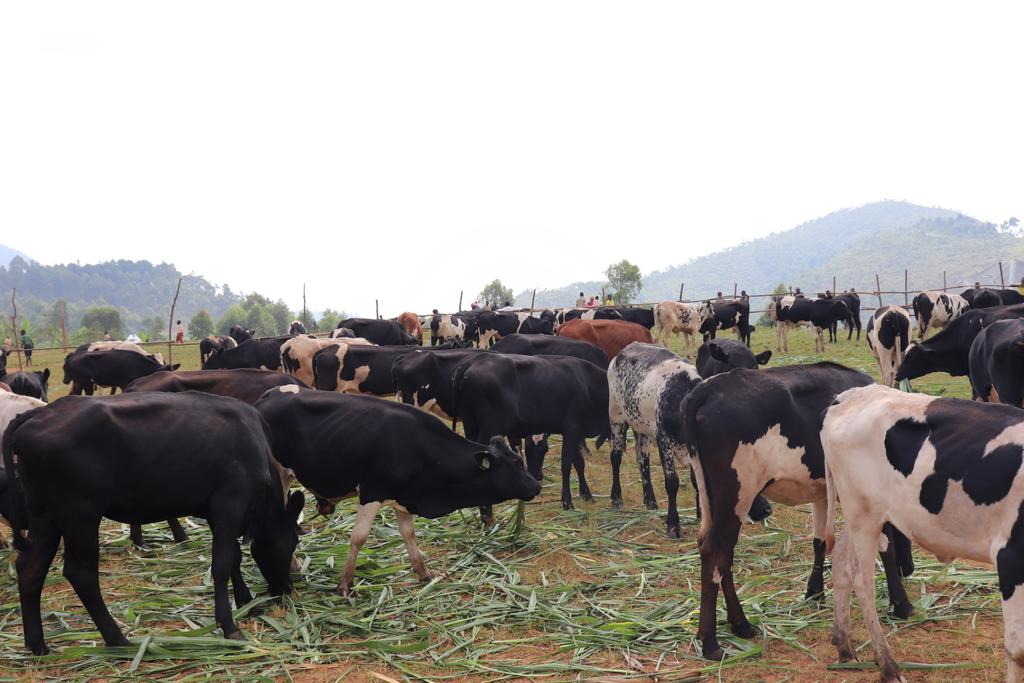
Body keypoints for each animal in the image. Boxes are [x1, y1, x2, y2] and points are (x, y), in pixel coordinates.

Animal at [3, 392, 304, 654]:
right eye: (293, 541)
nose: (285, 589)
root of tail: (40, 413)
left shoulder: (215, 512)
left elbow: (235, 559)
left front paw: (245, 600)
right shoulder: (230, 503)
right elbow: (221, 564)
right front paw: (229, 625)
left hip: (45, 516)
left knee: (30, 569)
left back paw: (38, 645)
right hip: (80, 516)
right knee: (81, 573)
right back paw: (117, 639)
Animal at [256, 386, 540, 595]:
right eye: (517, 463)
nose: (536, 485)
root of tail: (271, 394)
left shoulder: (402, 497)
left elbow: (409, 535)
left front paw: (424, 573)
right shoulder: (372, 492)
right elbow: (359, 537)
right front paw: (345, 583)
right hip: (280, 475)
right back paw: (293, 565)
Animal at [453, 353, 610, 512]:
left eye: (544, 450)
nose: (536, 476)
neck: (587, 383)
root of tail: (474, 360)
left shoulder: (571, 432)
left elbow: (578, 463)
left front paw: (586, 495)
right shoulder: (572, 429)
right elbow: (566, 465)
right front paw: (567, 501)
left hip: (470, 424)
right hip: (490, 427)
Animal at [682, 363, 913, 661]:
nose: (911, 568)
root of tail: (707, 388)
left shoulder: (822, 491)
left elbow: (820, 541)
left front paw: (814, 591)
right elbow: (887, 548)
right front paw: (901, 604)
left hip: (713, 501)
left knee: (722, 556)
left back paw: (740, 624)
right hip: (735, 496)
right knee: (715, 553)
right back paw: (711, 641)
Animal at [821, 385, 1024, 683]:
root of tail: (850, 395)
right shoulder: (1010, 558)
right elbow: (1017, 649)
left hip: (860, 513)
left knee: (842, 563)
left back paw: (843, 644)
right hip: (863, 514)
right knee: (863, 584)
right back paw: (888, 666)